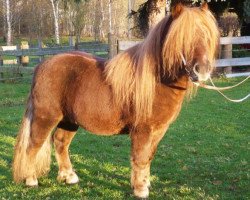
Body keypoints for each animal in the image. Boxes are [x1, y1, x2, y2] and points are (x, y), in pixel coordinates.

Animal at [12, 3, 219, 198]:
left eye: (207, 35)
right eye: (183, 37)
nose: (202, 70)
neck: (155, 81)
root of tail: (42, 65)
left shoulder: (159, 130)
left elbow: (149, 157)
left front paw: (145, 183)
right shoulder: (143, 130)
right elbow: (140, 157)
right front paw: (140, 189)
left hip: (69, 120)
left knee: (60, 142)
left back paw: (68, 176)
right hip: (45, 117)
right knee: (33, 145)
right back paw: (31, 179)